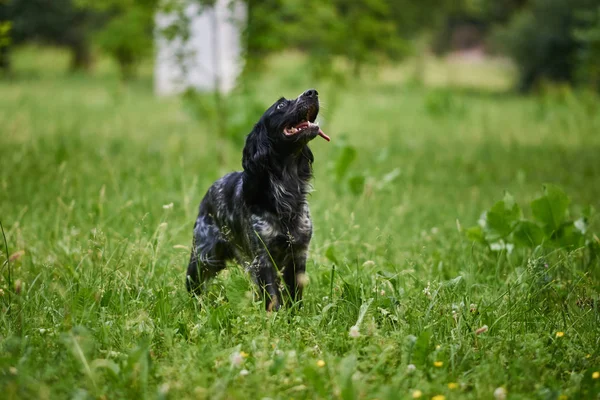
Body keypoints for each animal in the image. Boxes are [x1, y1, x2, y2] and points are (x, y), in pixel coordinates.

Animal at [186, 89, 330, 310]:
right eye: (281, 105)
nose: (312, 92)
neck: (285, 192)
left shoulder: (298, 254)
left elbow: (294, 296)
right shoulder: (262, 258)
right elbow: (273, 299)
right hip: (203, 257)